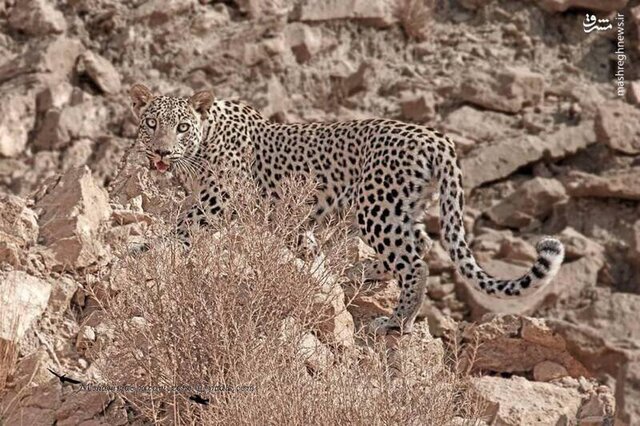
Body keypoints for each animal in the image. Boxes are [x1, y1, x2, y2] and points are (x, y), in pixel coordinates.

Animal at [127, 83, 564, 334]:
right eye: (151, 123)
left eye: (182, 127)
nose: (161, 151)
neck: (202, 143)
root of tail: (436, 136)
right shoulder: (290, 218)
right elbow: (303, 247)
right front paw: (316, 273)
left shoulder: (219, 199)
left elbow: (183, 227)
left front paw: (148, 247)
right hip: (403, 206)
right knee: (419, 243)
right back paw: (360, 273)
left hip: (378, 206)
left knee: (415, 261)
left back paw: (395, 320)